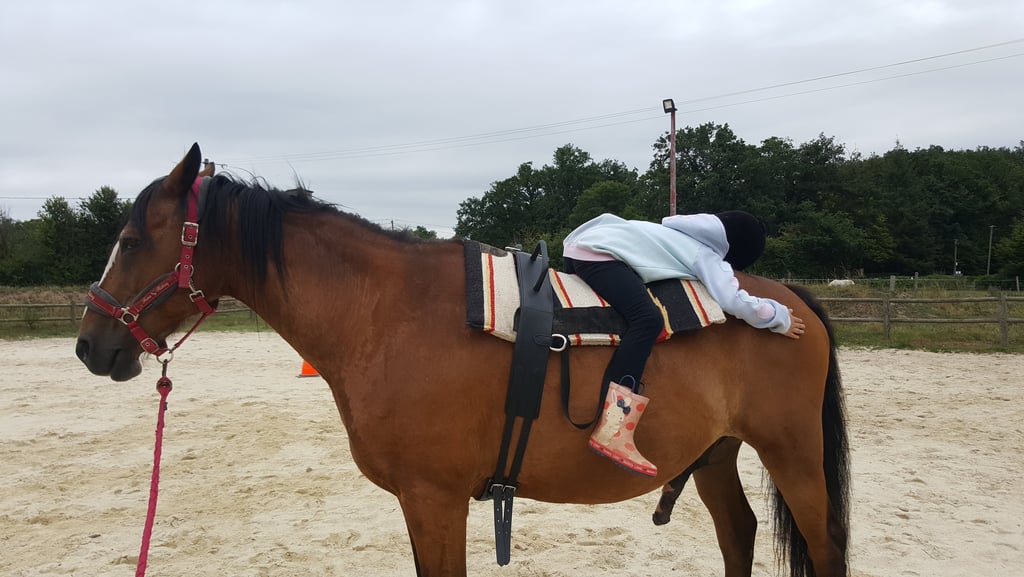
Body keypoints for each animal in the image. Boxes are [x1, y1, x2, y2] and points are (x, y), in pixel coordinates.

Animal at [75, 144, 850, 577]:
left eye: (132, 239)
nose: (90, 343)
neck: (385, 312)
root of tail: (793, 301)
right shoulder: (425, 503)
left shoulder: (435, 498)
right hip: (716, 453)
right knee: (739, 536)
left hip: (792, 453)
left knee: (825, 544)